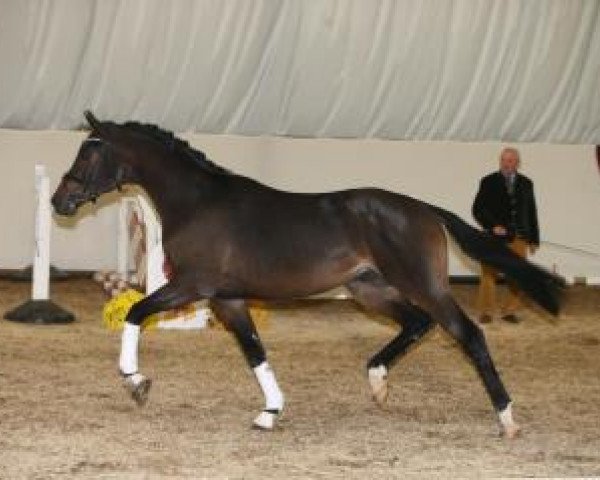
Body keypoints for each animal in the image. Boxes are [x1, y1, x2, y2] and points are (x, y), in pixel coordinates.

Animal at [51, 111, 564, 436]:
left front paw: (136, 383)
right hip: (369, 289)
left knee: (467, 333)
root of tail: (423, 209)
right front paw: (270, 413)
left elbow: (136, 312)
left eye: (88, 154)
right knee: (417, 324)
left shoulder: (193, 286)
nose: (60, 201)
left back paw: (507, 419)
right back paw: (378, 383)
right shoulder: (228, 299)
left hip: (423, 285)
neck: (199, 203)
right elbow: (254, 352)